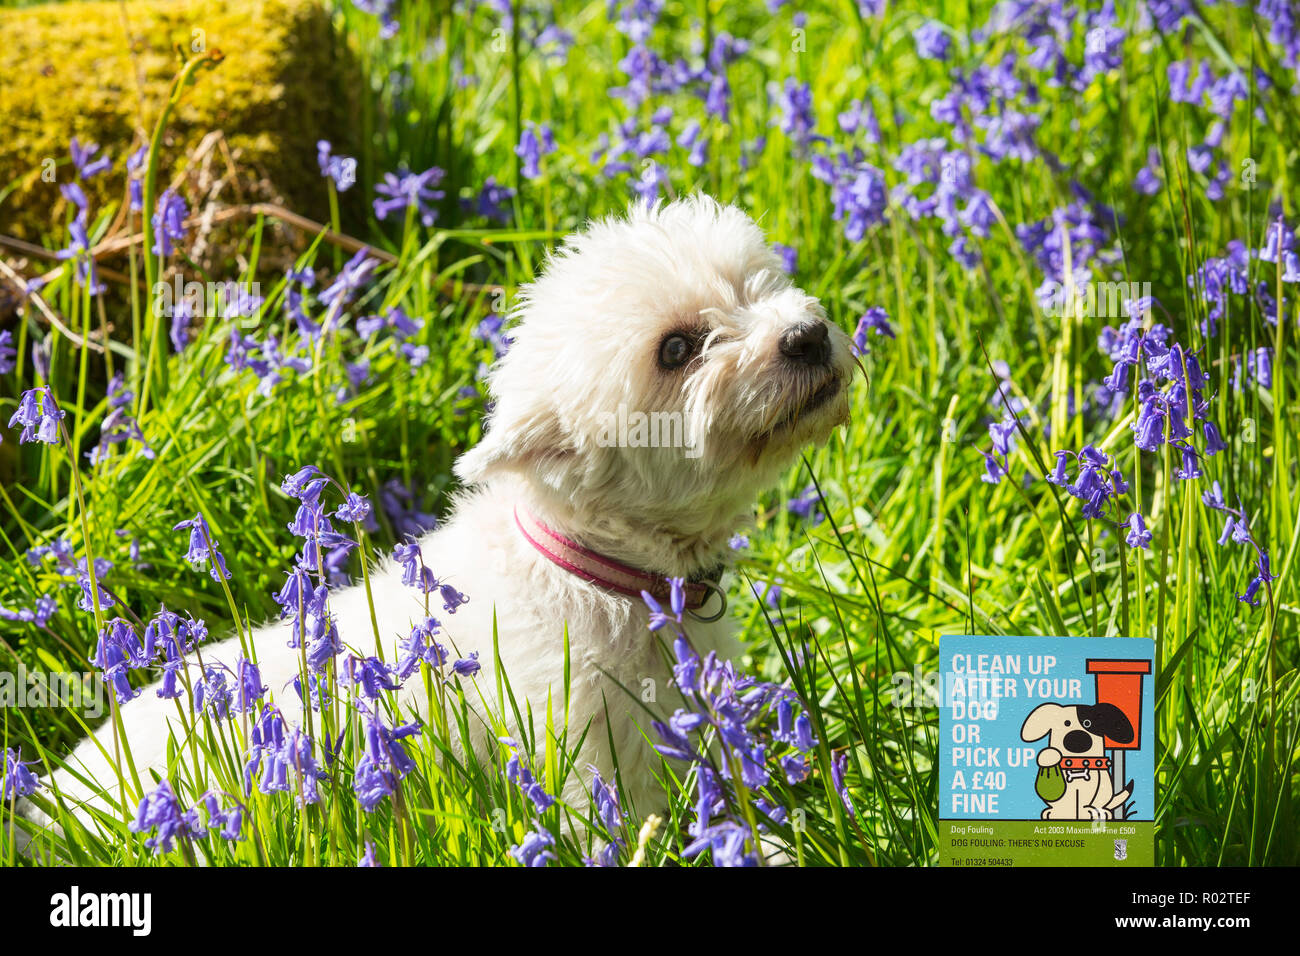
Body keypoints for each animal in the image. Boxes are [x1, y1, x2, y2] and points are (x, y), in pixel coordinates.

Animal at [32, 192, 852, 842]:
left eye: (757, 283)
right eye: (676, 349)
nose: (807, 336)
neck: (606, 573)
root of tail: (41, 805)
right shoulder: (594, 761)